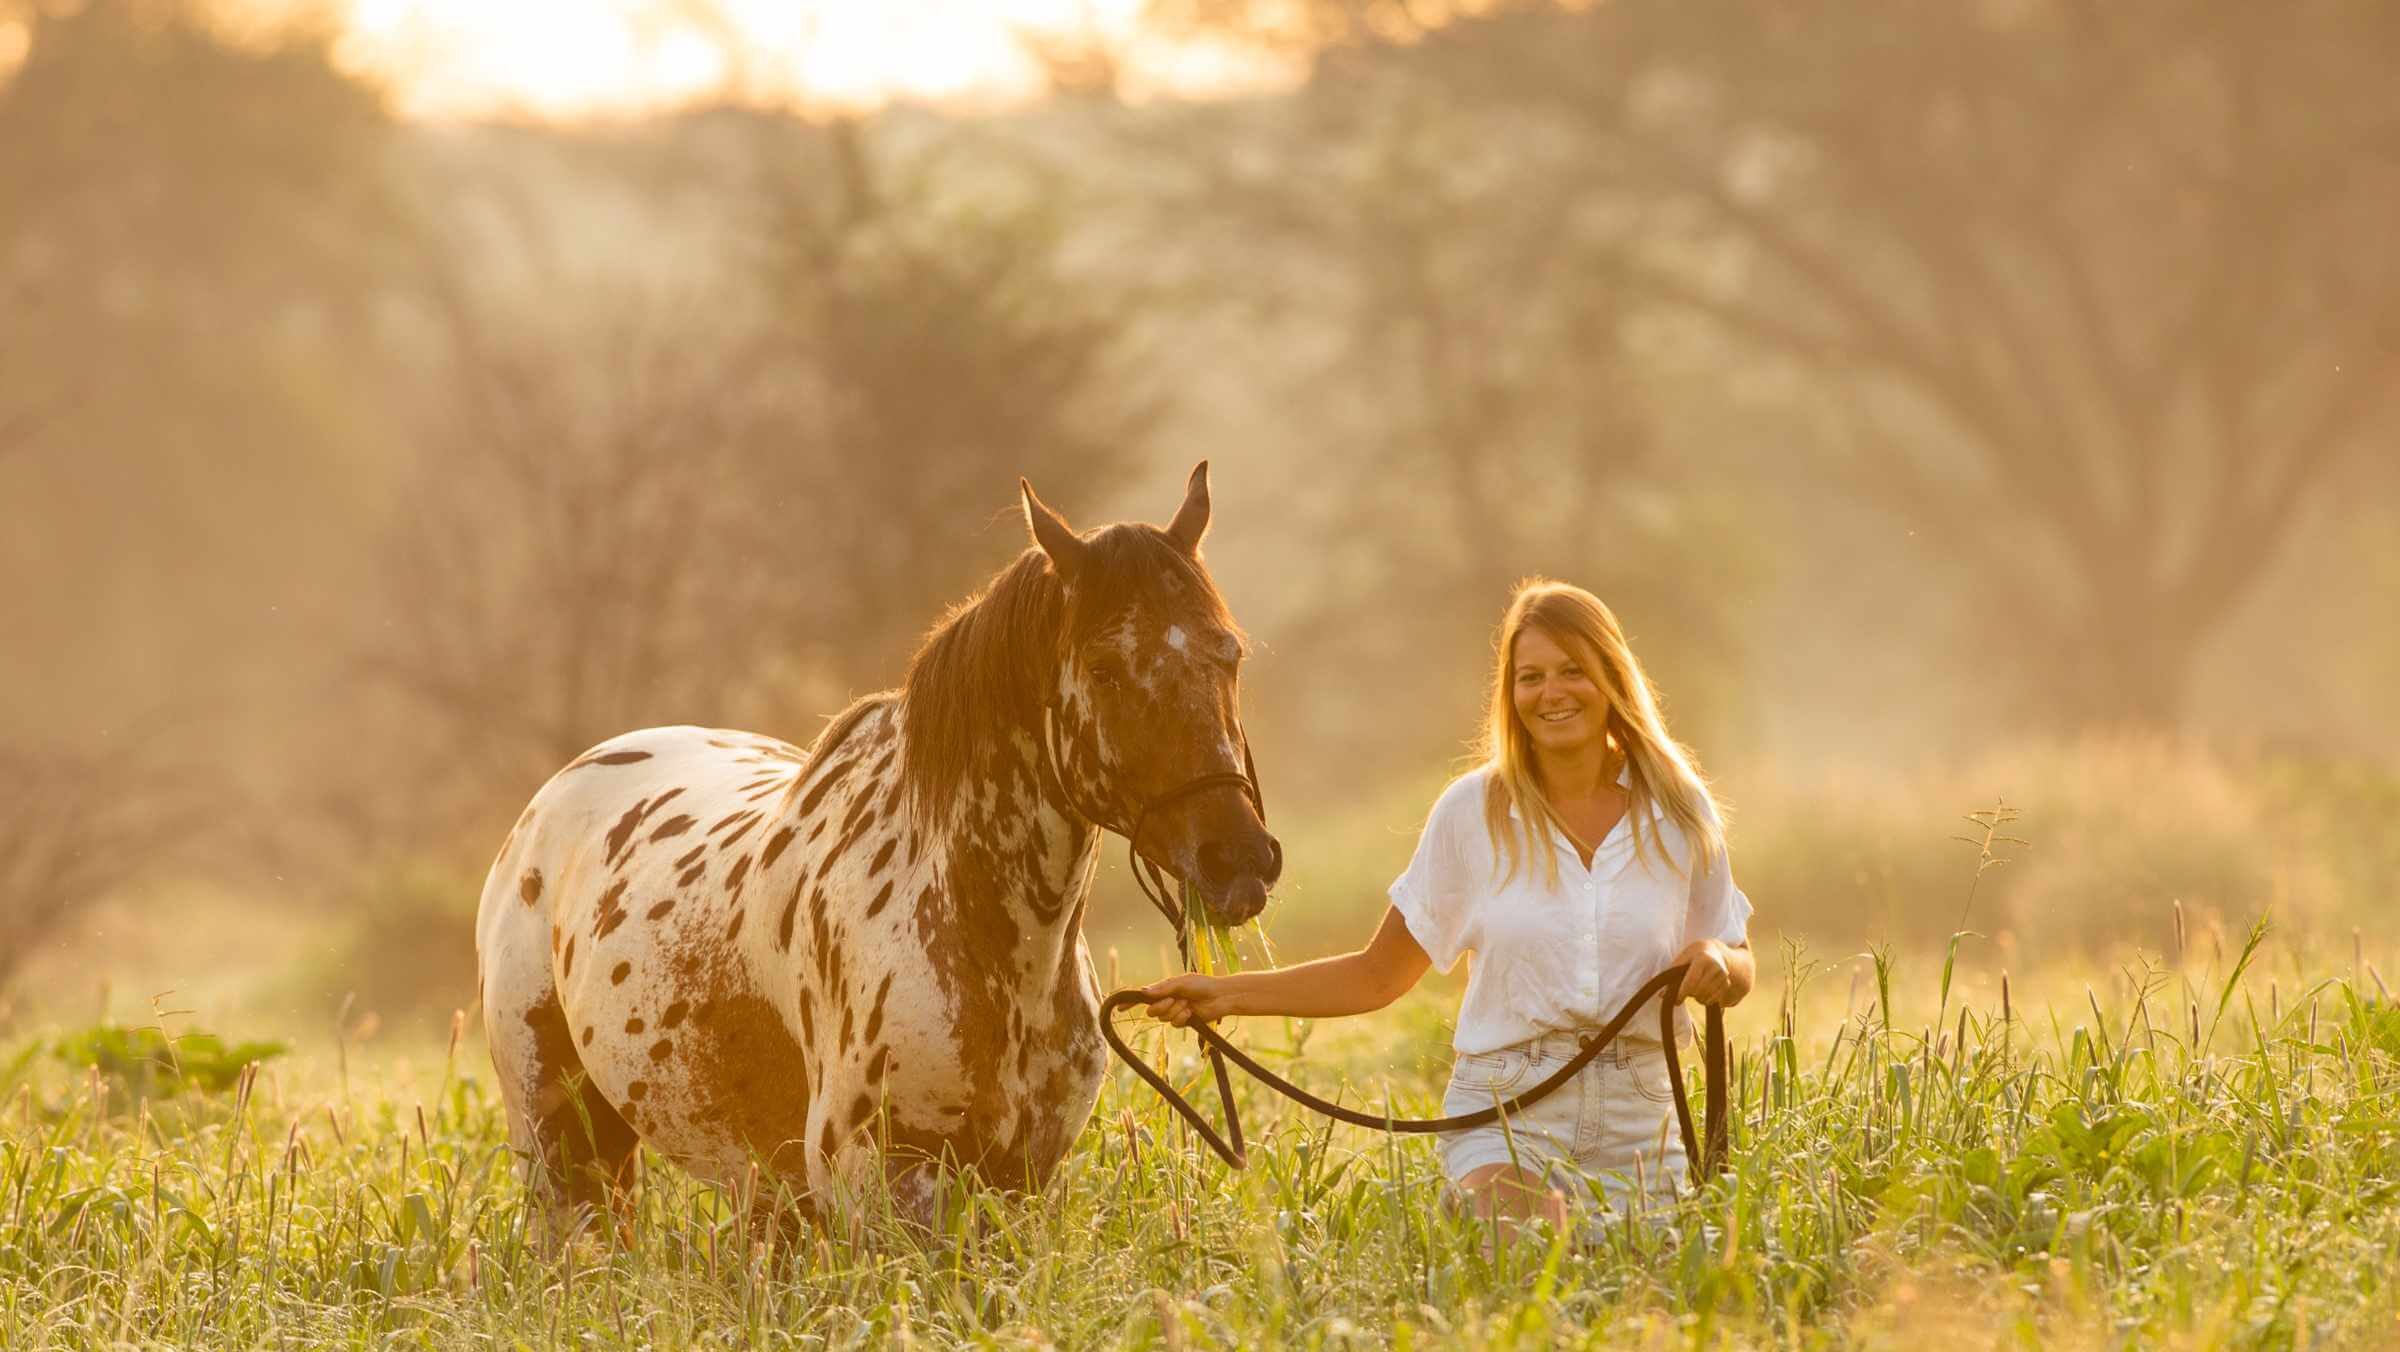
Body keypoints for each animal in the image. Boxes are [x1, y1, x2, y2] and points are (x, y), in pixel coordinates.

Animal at [475, 465, 1286, 1229]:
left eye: (1230, 655)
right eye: (1105, 670)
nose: (1238, 861)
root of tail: (547, 809)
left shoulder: (1017, 1185)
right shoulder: (883, 1190)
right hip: (563, 1152)